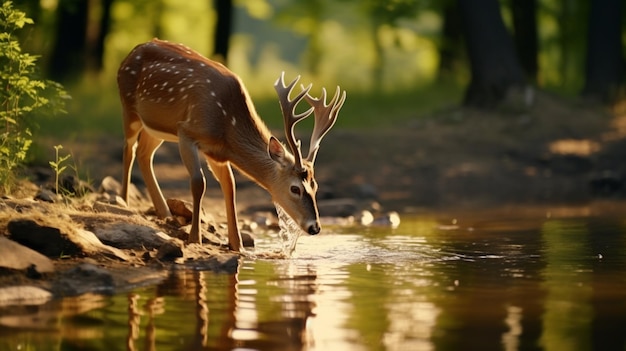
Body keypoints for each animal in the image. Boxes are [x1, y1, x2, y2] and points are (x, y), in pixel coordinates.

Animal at [114, 39, 344, 253]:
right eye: (295, 188)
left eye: (316, 186)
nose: (315, 227)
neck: (227, 128)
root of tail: (131, 53)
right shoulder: (186, 131)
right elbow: (198, 183)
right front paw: (195, 239)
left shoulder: (216, 153)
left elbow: (229, 186)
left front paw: (237, 245)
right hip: (129, 107)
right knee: (129, 148)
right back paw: (123, 201)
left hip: (156, 128)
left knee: (145, 154)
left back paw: (165, 213)